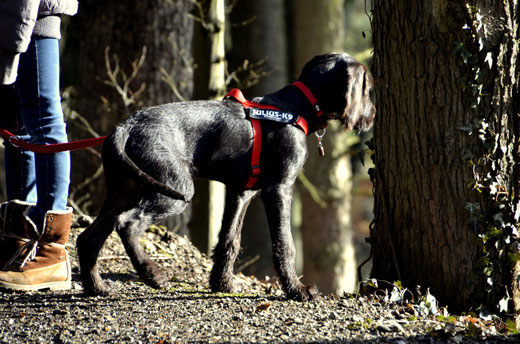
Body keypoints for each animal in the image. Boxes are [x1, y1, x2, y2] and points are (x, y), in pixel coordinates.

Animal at [77, 51, 376, 300]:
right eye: (367, 88)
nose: (372, 115)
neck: (298, 107)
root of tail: (125, 127)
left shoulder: (240, 192)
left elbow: (229, 239)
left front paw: (221, 284)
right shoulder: (279, 189)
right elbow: (285, 242)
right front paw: (297, 290)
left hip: (123, 192)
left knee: (89, 238)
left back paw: (98, 288)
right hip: (173, 190)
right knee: (128, 224)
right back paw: (152, 274)